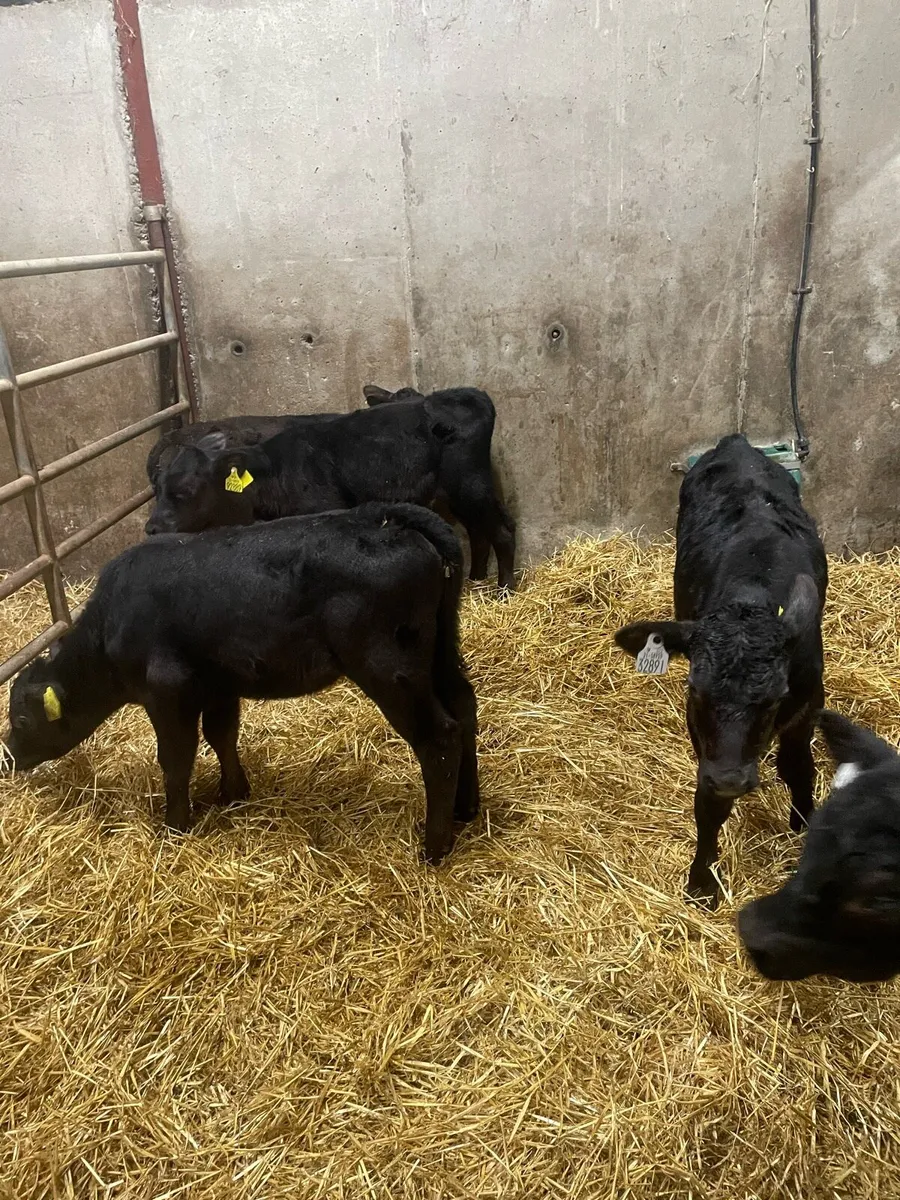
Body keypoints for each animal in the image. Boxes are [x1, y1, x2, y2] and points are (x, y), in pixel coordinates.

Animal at [1, 503, 479, 865]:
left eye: (22, 720)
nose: (8, 756)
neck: (110, 628)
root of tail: (385, 516)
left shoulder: (167, 690)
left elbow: (176, 759)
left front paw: (175, 826)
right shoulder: (218, 684)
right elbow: (222, 735)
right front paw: (232, 794)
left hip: (389, 666)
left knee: (439, 736)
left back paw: (434, 847)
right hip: (440, 651)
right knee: (464, 707)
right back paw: (467, 809)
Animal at [144, 387, 517, 593]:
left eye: (185, 489)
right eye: (157, 486)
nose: (152, 528)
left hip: (471, 486)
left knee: (501, 531)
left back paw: (504, 590)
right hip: (459, 494)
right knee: (479, 531)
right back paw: (477, 580)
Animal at [614, 434, 828, 907]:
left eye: (774, 698)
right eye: (694, 690)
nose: (731, 778)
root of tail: (739, 442)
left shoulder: (807, 703)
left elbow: (798, 766)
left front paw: (805, 826)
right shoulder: (704, 742)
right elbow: (708, 804)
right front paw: (701, 881)